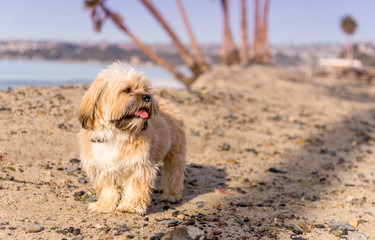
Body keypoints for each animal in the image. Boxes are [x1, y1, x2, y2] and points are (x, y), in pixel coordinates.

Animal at [77, 61, 187, 214]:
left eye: (145, 89)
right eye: (127, 90)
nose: (147, 96)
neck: (116, 133)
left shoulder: (139, 165)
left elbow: (135, 187)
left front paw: (130, 206)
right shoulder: (102, 167)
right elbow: (108, 189)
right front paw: (104, 205)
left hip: (175, 152)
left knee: (174, 172)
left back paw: (171, 194)